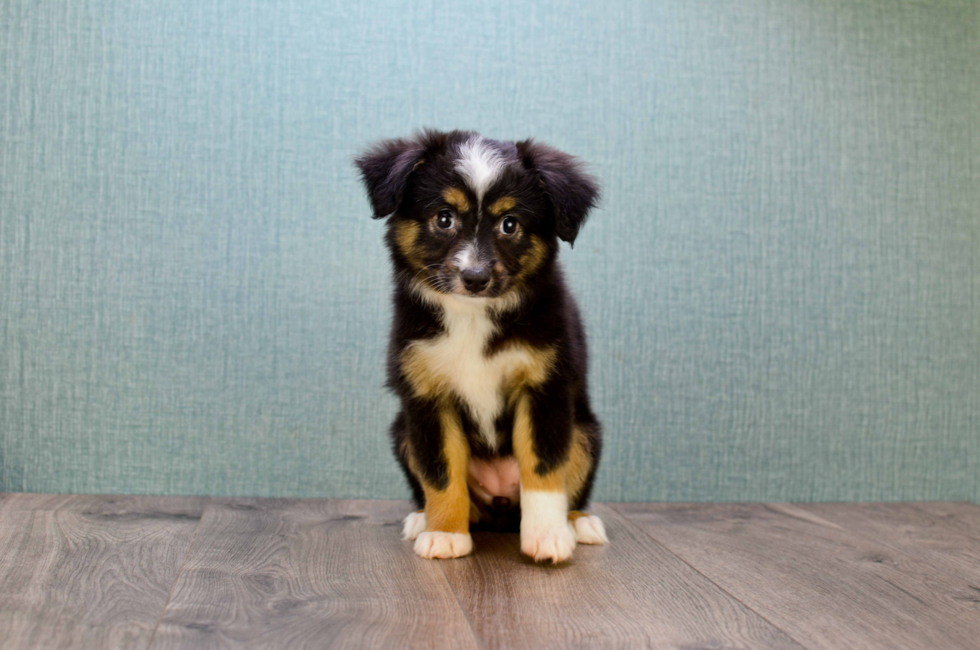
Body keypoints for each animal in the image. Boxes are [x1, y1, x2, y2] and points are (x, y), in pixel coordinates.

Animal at [356, 129, 608, 560]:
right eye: (444, 218)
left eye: (509, 224)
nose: (474, 277)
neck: (473, 316)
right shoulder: (427, 396)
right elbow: (441, 472)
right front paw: (445, 534)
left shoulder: (545, 388)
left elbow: (543, 467)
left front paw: (547, 535)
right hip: (402, 432)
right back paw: (423, 519)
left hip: (584, 432)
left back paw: (579, 522)